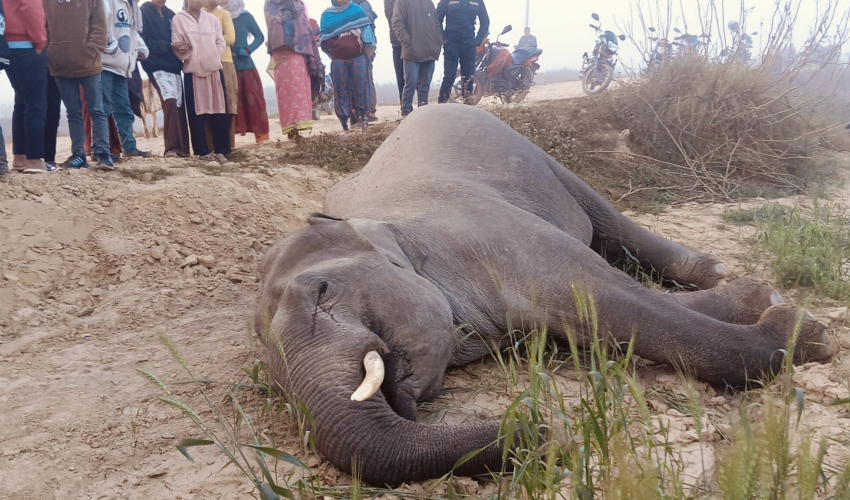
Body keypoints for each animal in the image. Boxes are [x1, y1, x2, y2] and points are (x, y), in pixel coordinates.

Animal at [253, 104, 836, 484]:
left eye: (323, 290)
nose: (542, 428)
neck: (384, 222)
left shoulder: (494, 232)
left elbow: (608, 302)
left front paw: (806, 335)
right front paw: (763, 303)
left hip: (534, 154)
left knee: (608, 220)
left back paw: (715, 271)